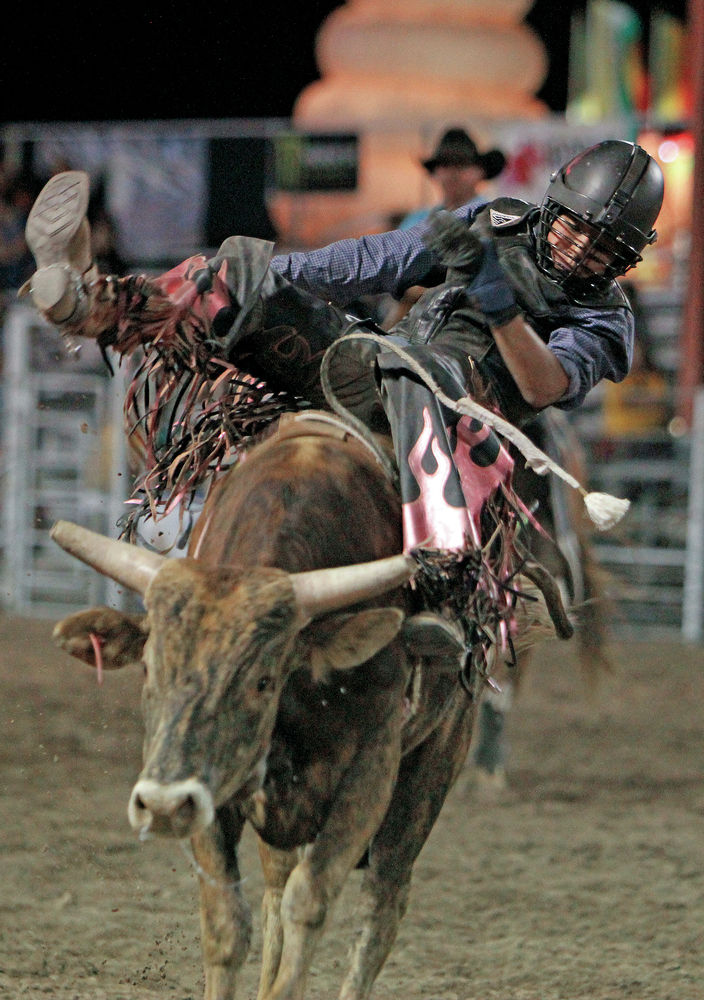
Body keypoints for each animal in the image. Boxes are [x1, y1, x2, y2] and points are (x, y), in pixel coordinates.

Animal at [52, 418, 564, 996]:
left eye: (262, 680)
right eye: (147, 670)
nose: (161, 805)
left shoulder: (370, 772)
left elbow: (311, 901)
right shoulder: (210, 782)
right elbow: (227, 922)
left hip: (434, 766)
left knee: (383, 901)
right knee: (277, 886)